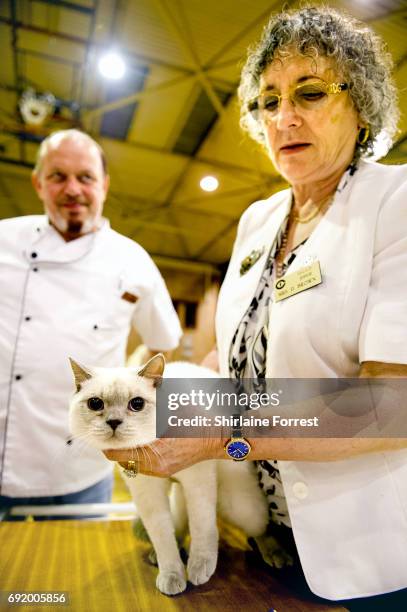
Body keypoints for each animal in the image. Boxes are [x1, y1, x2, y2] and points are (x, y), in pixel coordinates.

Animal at [68, 356, 288, 596]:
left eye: (137, 404)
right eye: (95, 404)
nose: (114, 422)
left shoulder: (198, 481)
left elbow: (203, 529)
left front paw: (198, 570)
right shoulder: (148, 493)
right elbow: (163, 539)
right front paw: (172, 577)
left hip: (238, 505)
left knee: (260, 528)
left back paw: (277, 555)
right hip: (182, 497)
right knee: (178, 528)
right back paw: (159, 555)